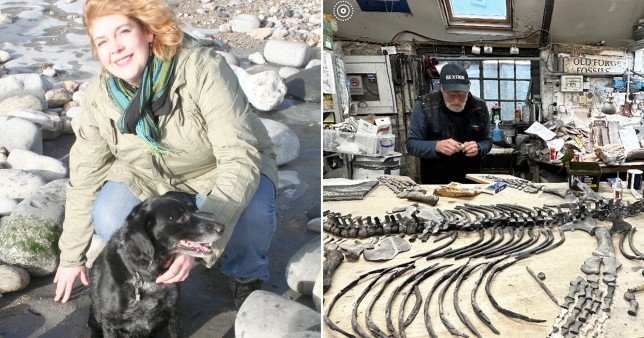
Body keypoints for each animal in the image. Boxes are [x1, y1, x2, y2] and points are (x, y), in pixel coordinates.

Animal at [88, 191, 224, 336]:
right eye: (181, 218)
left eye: (193, 210)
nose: (222, 227)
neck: (147, 277)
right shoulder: (110, 325)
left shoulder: (174, 313)